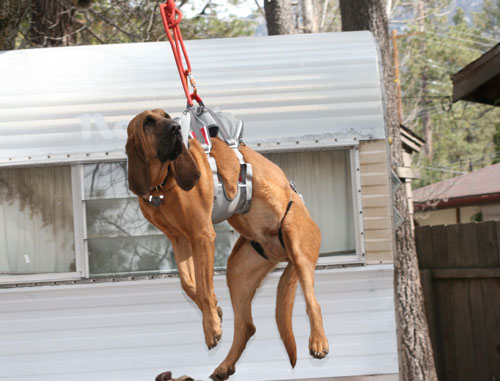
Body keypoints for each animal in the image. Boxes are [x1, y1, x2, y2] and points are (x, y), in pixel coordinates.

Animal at [125, 108, 328, 378]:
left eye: (167, 116)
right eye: (148, 122)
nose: (175, 128)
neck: (162, 183)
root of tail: (283, 254)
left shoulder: (201, 234)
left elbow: (202, 285)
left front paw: (211, 327)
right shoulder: (179, 239)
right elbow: (188, 284)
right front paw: (215, 311)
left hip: (296, 241)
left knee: (313, 303)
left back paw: (318, 342)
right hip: (238, 271)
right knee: (247, 325)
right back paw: (224, 366)